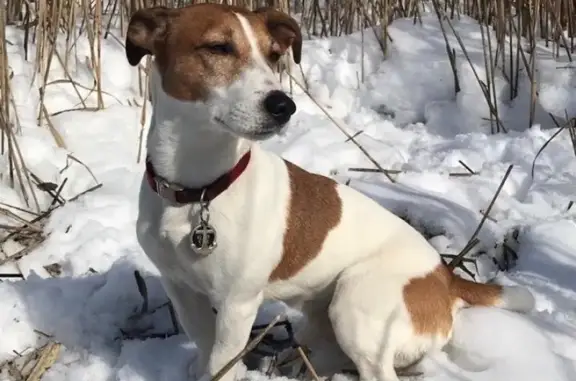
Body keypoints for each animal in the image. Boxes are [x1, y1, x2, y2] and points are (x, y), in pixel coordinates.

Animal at [126, 2, 536, 380]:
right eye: (218, 47)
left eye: (273, 55)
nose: (283, 105)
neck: (199, 191)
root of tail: (446, 277)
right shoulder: (181, 288)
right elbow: (203, 344)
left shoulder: (236, 303)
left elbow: (220, 363)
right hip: (323, 317)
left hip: (355, 304)